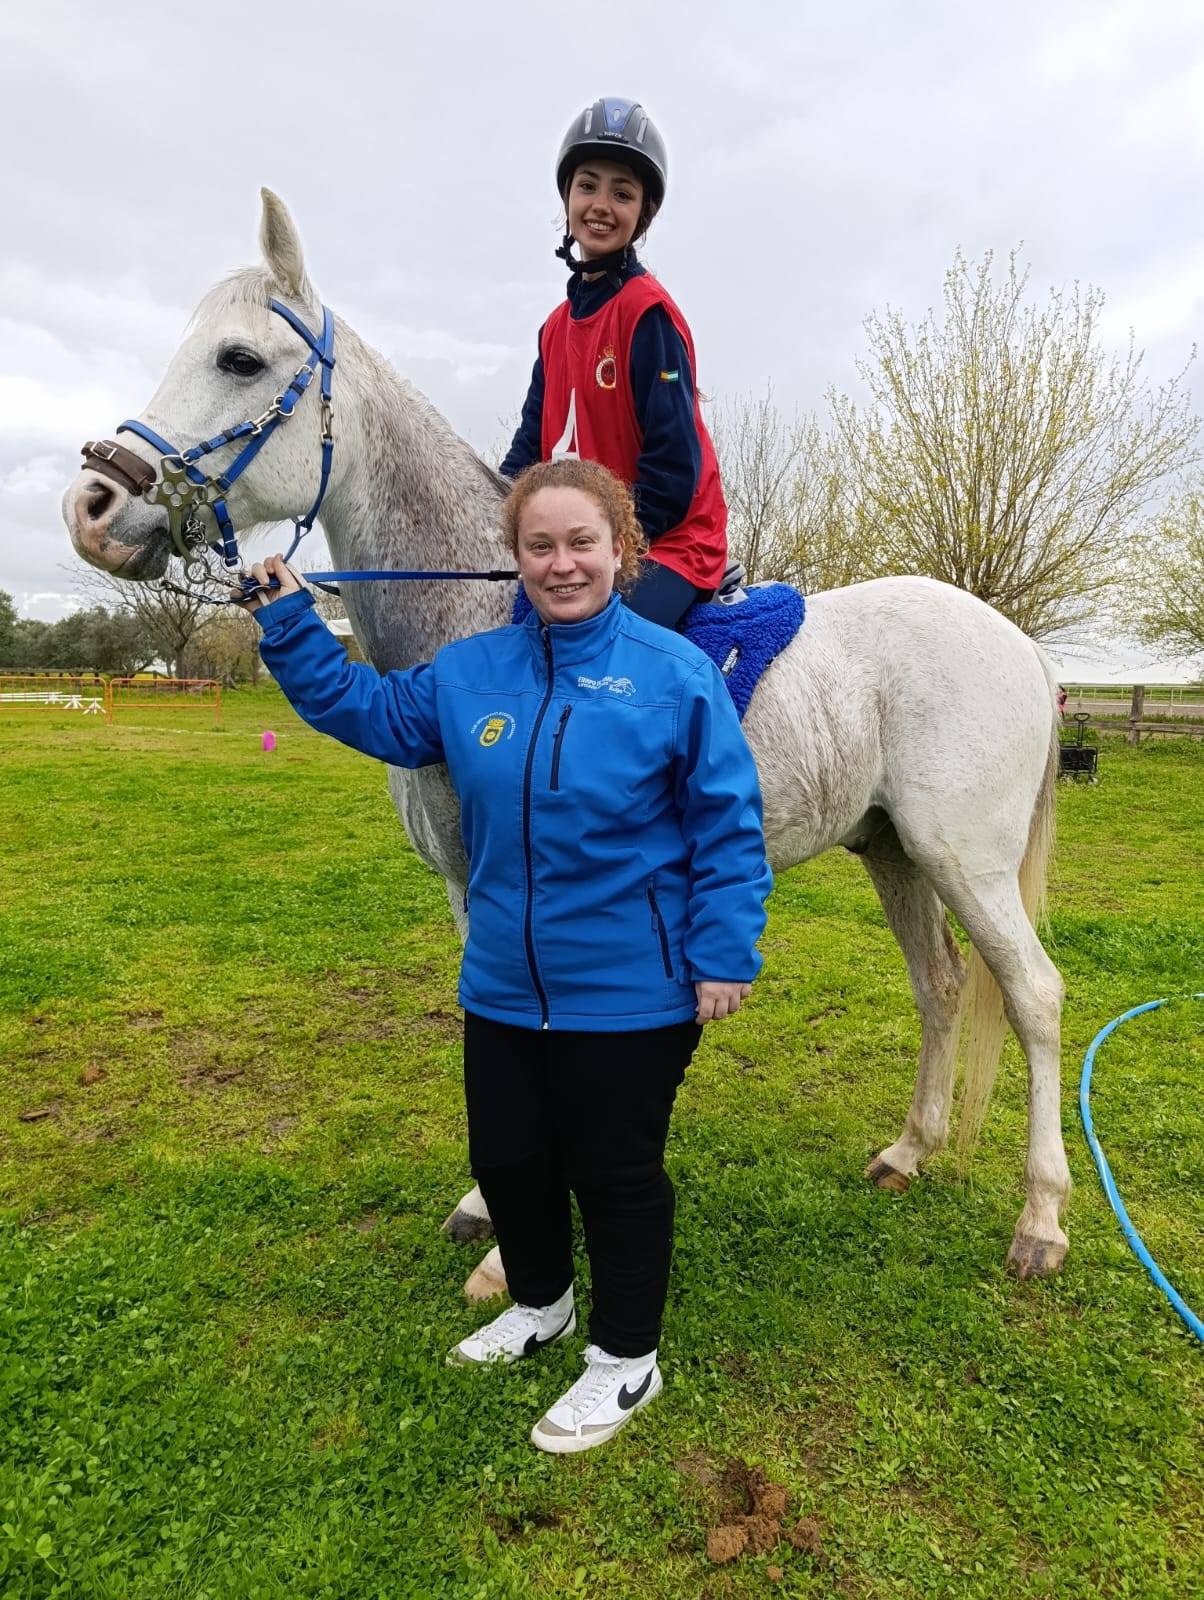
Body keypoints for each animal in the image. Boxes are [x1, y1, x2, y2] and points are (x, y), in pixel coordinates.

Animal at [62, 190, 1071, 1296]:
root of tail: (1016, 644)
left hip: (963, 859)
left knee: (1032, 996)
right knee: (940, 987)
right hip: (894, 850)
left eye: (239, 359)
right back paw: (909, 1149)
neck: (489, 623)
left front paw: (511, 1258)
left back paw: (1041, 1219)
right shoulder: (474, 892)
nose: (94, 506)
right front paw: (486, 1207)